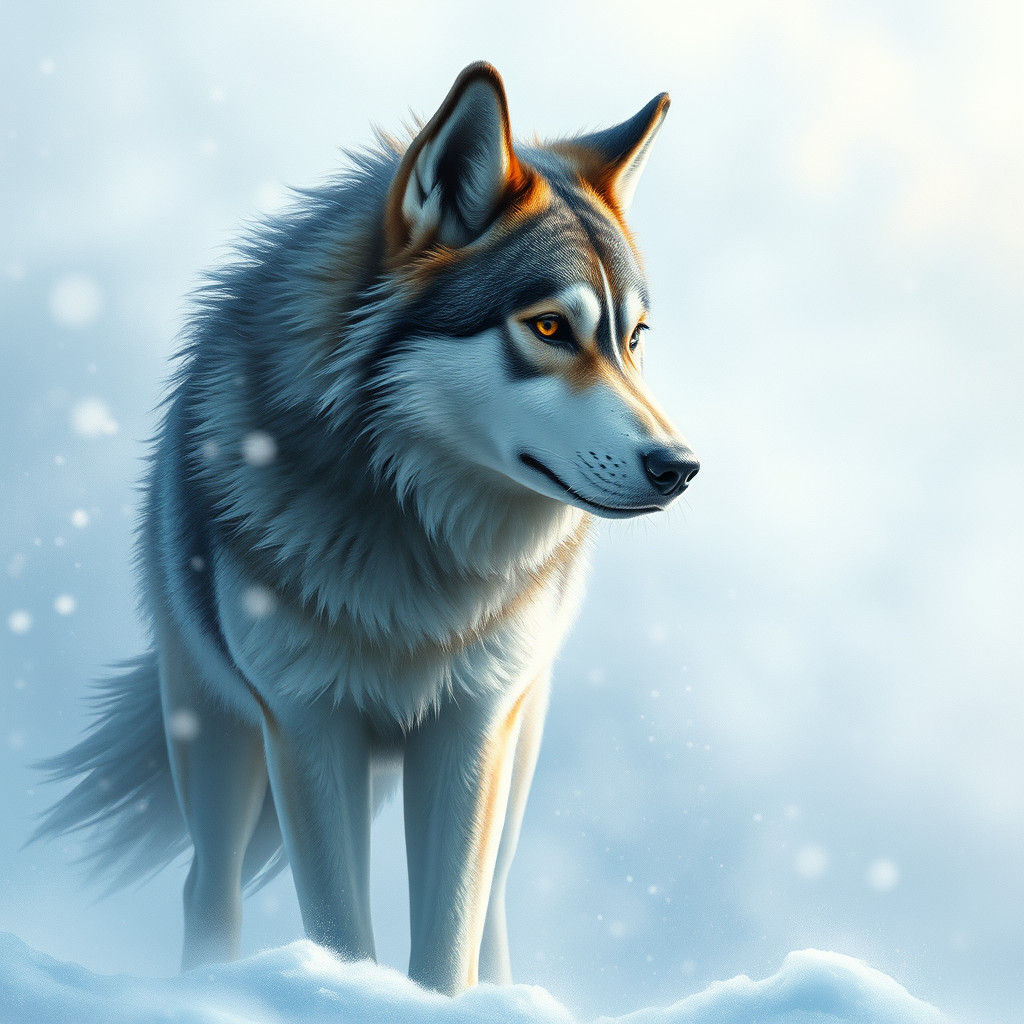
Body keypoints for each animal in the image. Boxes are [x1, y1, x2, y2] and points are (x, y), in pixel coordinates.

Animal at [33, 62, 699, 994]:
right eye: (549, 328)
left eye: (633, 338)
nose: (680, 466)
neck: (409, 535)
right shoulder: (307, 725)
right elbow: (341, 923)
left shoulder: (471, 727)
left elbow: (450, 933)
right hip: (213, 726)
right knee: (208, 887)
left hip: (522, 735)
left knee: (496, 898)